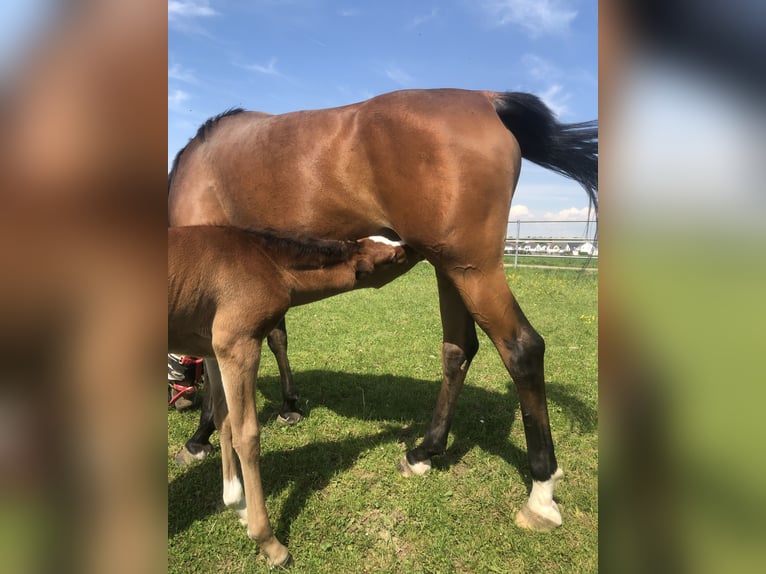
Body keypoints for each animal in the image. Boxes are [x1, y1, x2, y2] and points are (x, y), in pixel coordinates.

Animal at [166, 226, 412, 568]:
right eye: (393, 257)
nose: (413, 246)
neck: (267, 262)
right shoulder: (238, 344)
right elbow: (246, 436)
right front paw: (269, 542)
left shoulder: (212, 348)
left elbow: (224, 420)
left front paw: (236, 504)